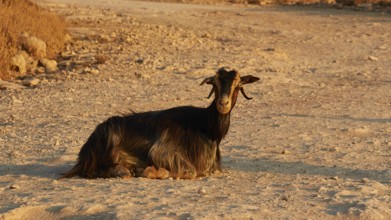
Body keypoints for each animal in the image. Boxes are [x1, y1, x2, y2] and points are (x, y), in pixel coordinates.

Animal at [60, 68, 260, 180]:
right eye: (215, 83)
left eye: (239, 85)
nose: (223, 103)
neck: (206, 126)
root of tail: (86, 150)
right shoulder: (163, 151)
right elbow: (190, 172)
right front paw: (151, 171)